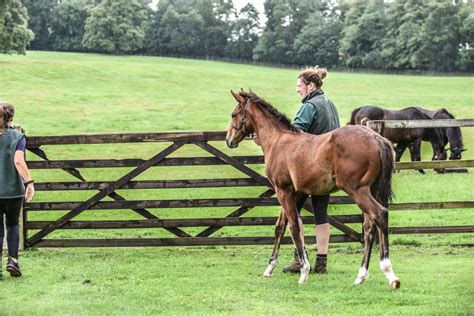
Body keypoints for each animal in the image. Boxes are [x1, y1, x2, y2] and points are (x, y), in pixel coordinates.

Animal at [226, 90, 400, 288]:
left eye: (234, 114)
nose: (229, 140)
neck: (277, 140)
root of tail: (376, 138)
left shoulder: (283, 191)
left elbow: (294, 227)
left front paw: (304, 271)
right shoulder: (296, 193)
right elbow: (280, 227)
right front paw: (270, 268)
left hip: (357, 190)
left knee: (380, 214)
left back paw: (389, 273)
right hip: (372, 190)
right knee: (370, 227)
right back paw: (361, 275)